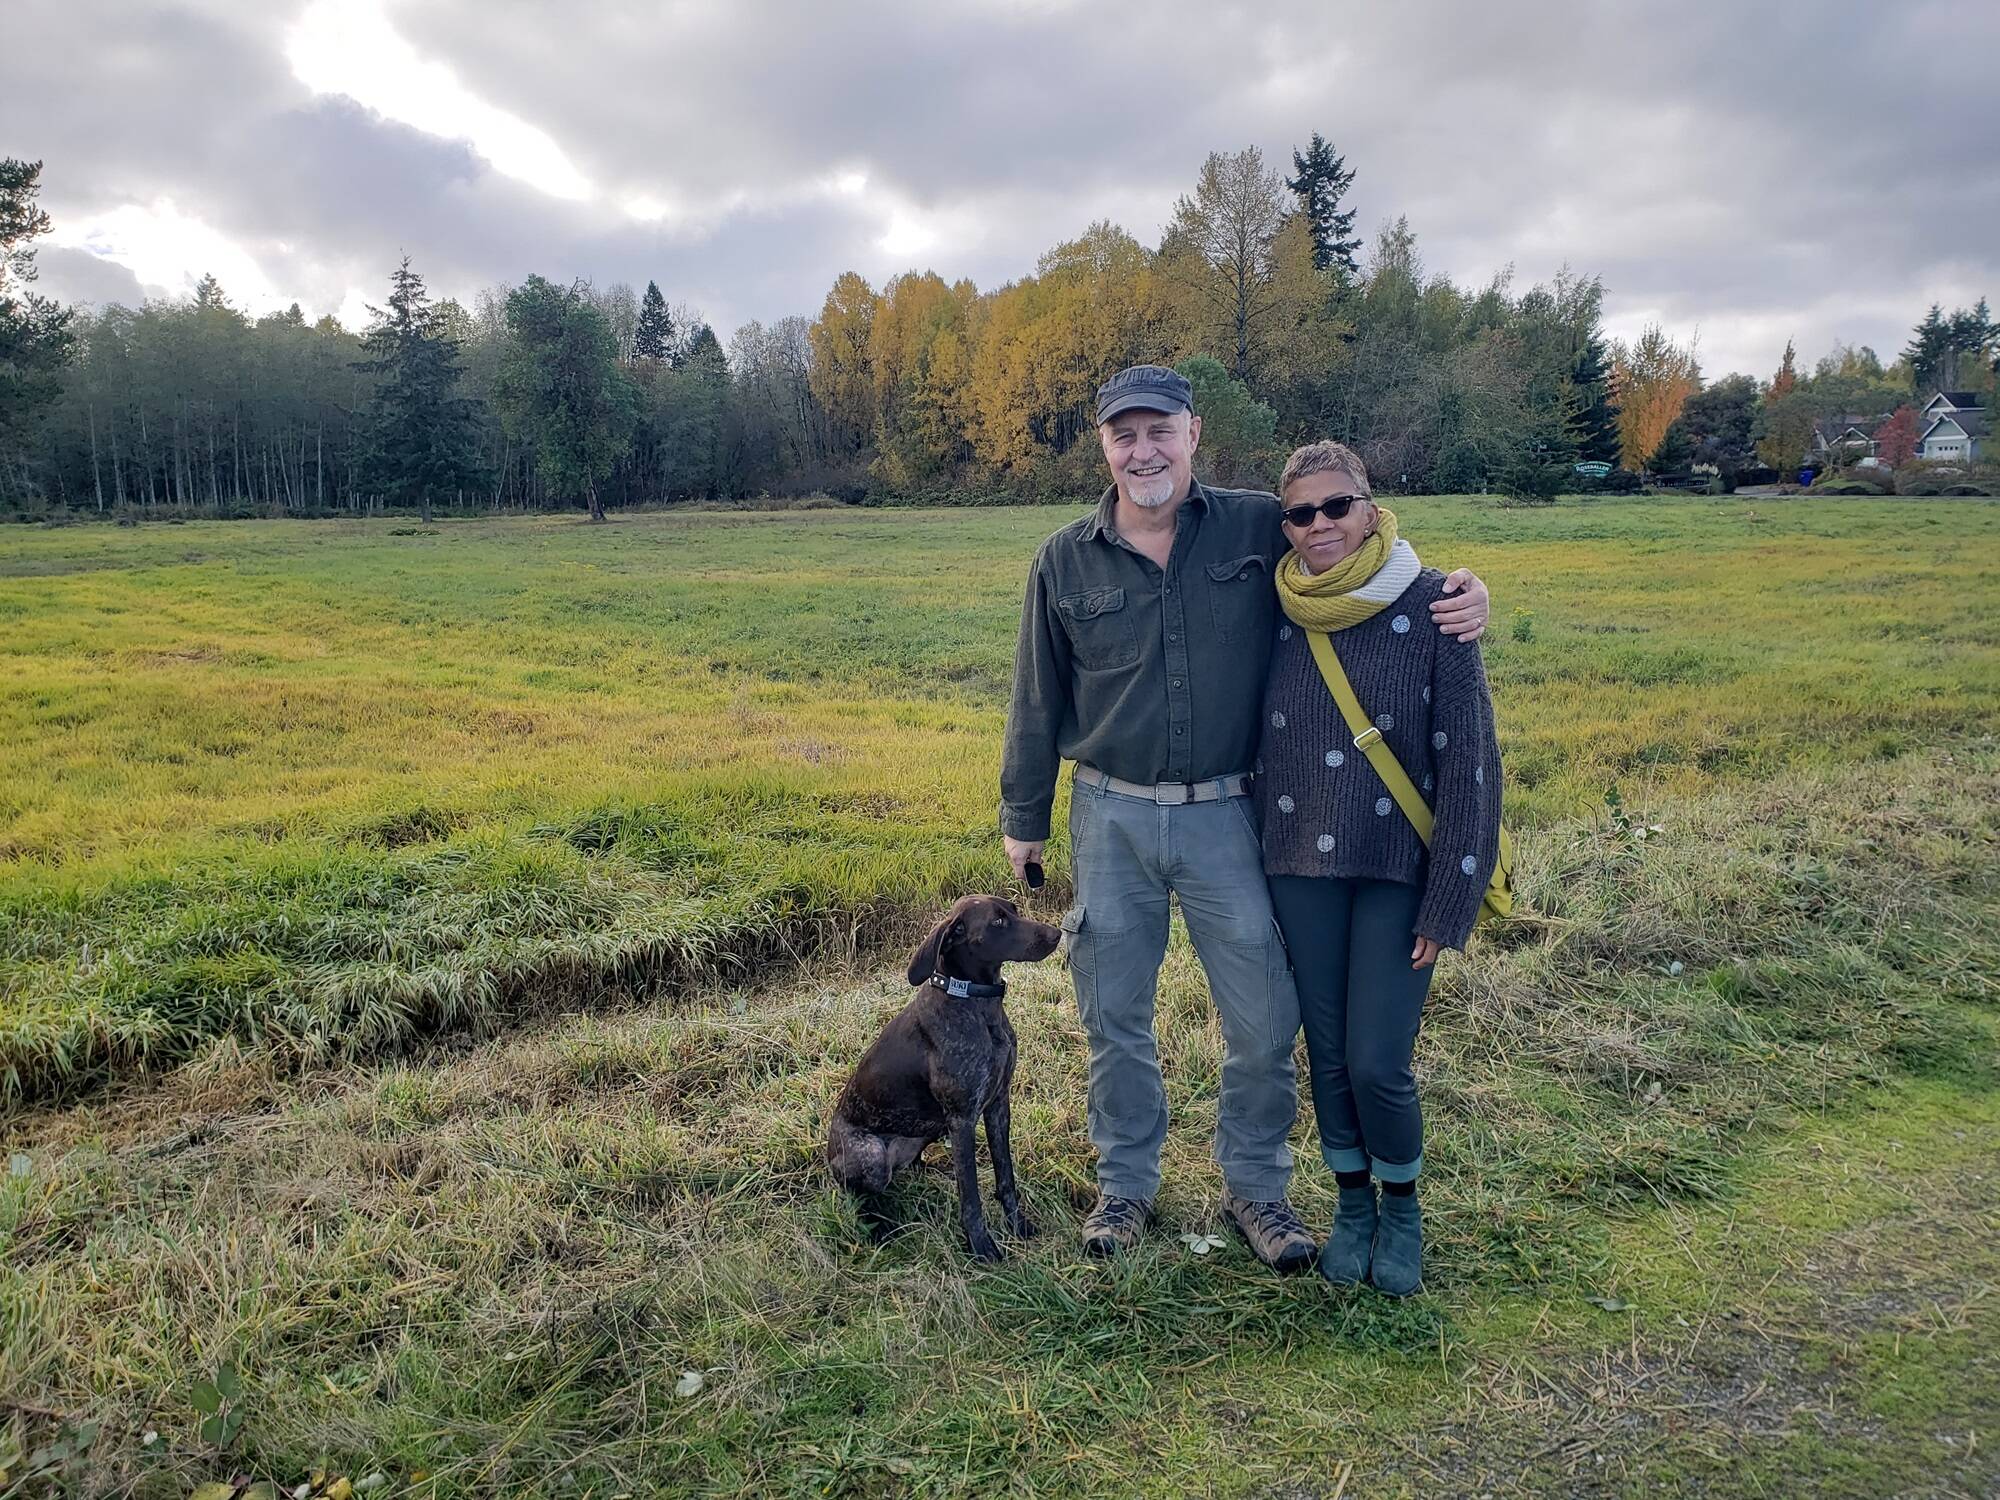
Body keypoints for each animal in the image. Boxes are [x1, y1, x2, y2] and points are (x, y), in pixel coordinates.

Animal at [824, 900, 1064, 1264]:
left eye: (1013, 909)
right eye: (997, 922)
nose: (1057, 933)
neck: (974, 1004)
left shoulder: (998, 1104)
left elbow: (1005, 1176)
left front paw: (1017, 1224)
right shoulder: (962, 1119)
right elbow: (971, 1198)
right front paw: (981, 1247)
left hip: (929, 1130)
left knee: (914, 1166)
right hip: (873, 1155)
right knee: (858, 1195)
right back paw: (879, 1227)